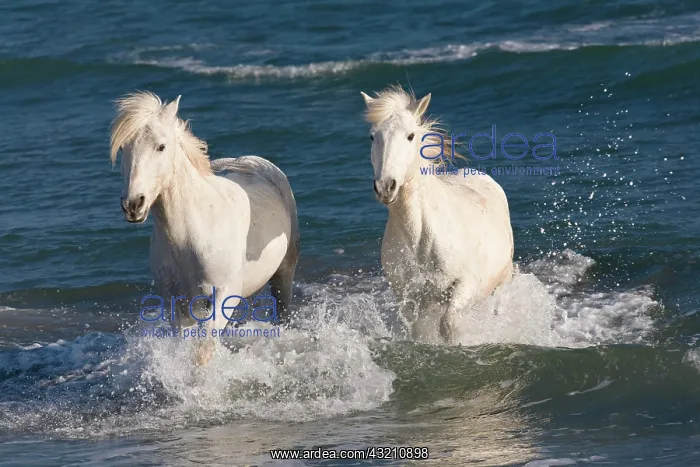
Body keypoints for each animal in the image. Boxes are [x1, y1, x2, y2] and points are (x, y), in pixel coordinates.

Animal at [110, 91, 300, 365]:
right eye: (123, 148)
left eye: (161, 146)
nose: (134, 204)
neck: (191, 235)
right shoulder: (178, 305)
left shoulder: (223, 295)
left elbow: (203, 351)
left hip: (284, 272)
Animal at [360, 85, 514, 344]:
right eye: (373, 136)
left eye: (410, 136)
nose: (385, 187)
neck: (421, 238)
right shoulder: (410, 298)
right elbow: (418, 330)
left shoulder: (466, 284)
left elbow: (449, 324)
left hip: (503, 280)